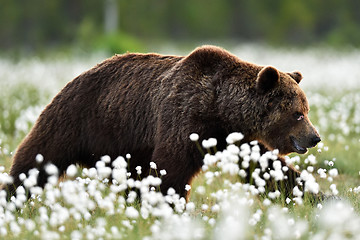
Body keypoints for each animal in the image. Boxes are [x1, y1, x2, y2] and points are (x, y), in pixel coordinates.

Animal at [2, 45, 318, 201]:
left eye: (306, 109)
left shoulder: (236, 137)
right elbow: (171, 169)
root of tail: (74, 77)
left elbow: (267, 168)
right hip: (78, 119)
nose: (315, 137)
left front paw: (312, 196)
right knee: (38, 157)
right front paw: (168, 205)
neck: (219, 109)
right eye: (298, 114)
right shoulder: (183, 117)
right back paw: (14, 194)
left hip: (120, 147)